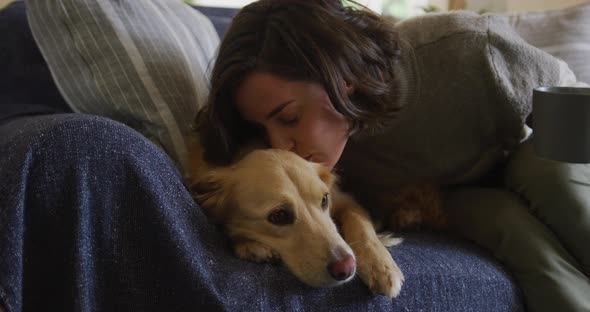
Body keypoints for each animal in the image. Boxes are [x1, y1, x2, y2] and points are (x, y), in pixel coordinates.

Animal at [188, 141, 408, 298]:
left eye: (324, 200)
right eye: (279, 216)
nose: (346, 267)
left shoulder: (345, 200)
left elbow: (361, 224)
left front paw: (381, 265)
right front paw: (250, 246)